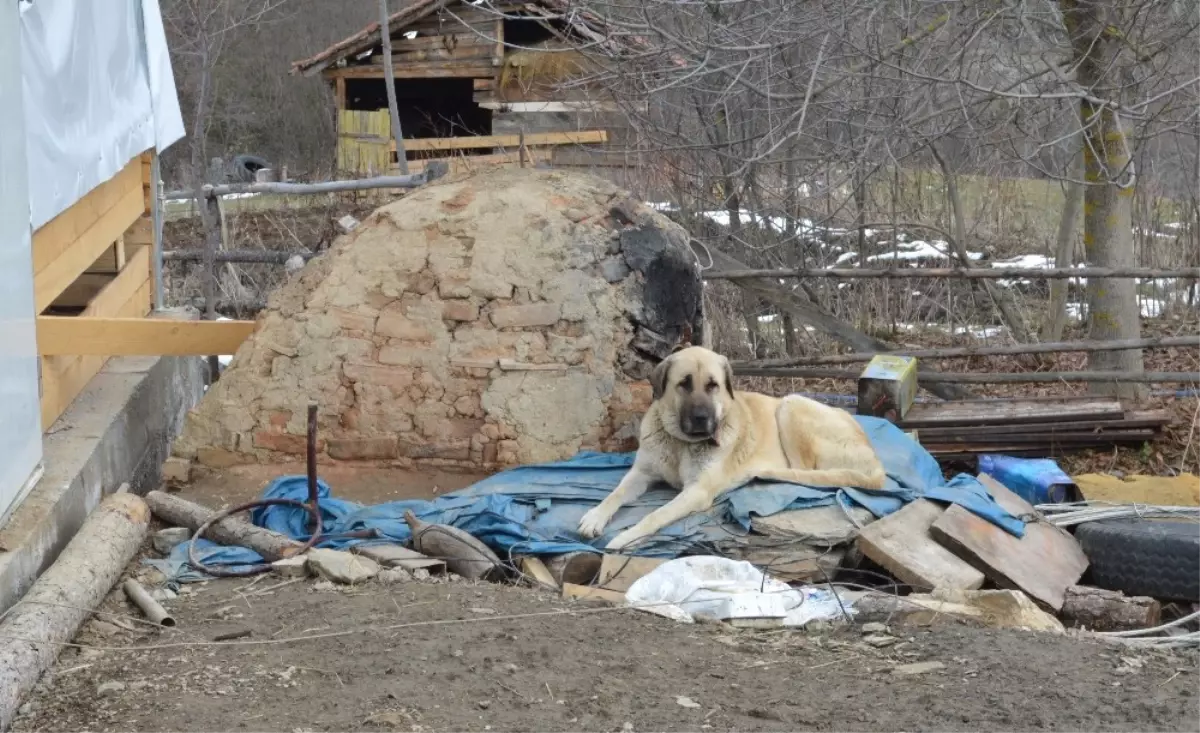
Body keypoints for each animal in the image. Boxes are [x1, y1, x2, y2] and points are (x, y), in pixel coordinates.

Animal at [580, 347, 892, 547]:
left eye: (713, 385)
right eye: (684, 384)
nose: (701, 418)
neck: (681, 443)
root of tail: (876, 460)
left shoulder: (697, 491)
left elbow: (655, 515)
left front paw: (624, 537)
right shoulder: (641, 473)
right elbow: (614, 494)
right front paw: (594, 517)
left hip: (790, 404)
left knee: (804, 474)